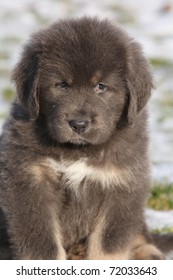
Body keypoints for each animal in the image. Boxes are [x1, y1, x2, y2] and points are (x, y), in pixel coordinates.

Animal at [0, 17, 165, 258]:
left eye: (101, 86)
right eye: (61, 84)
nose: (78, 124)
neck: (78, 152)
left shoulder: (121, 185)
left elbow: (107, 246)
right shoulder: (29, 183)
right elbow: (42, 245)